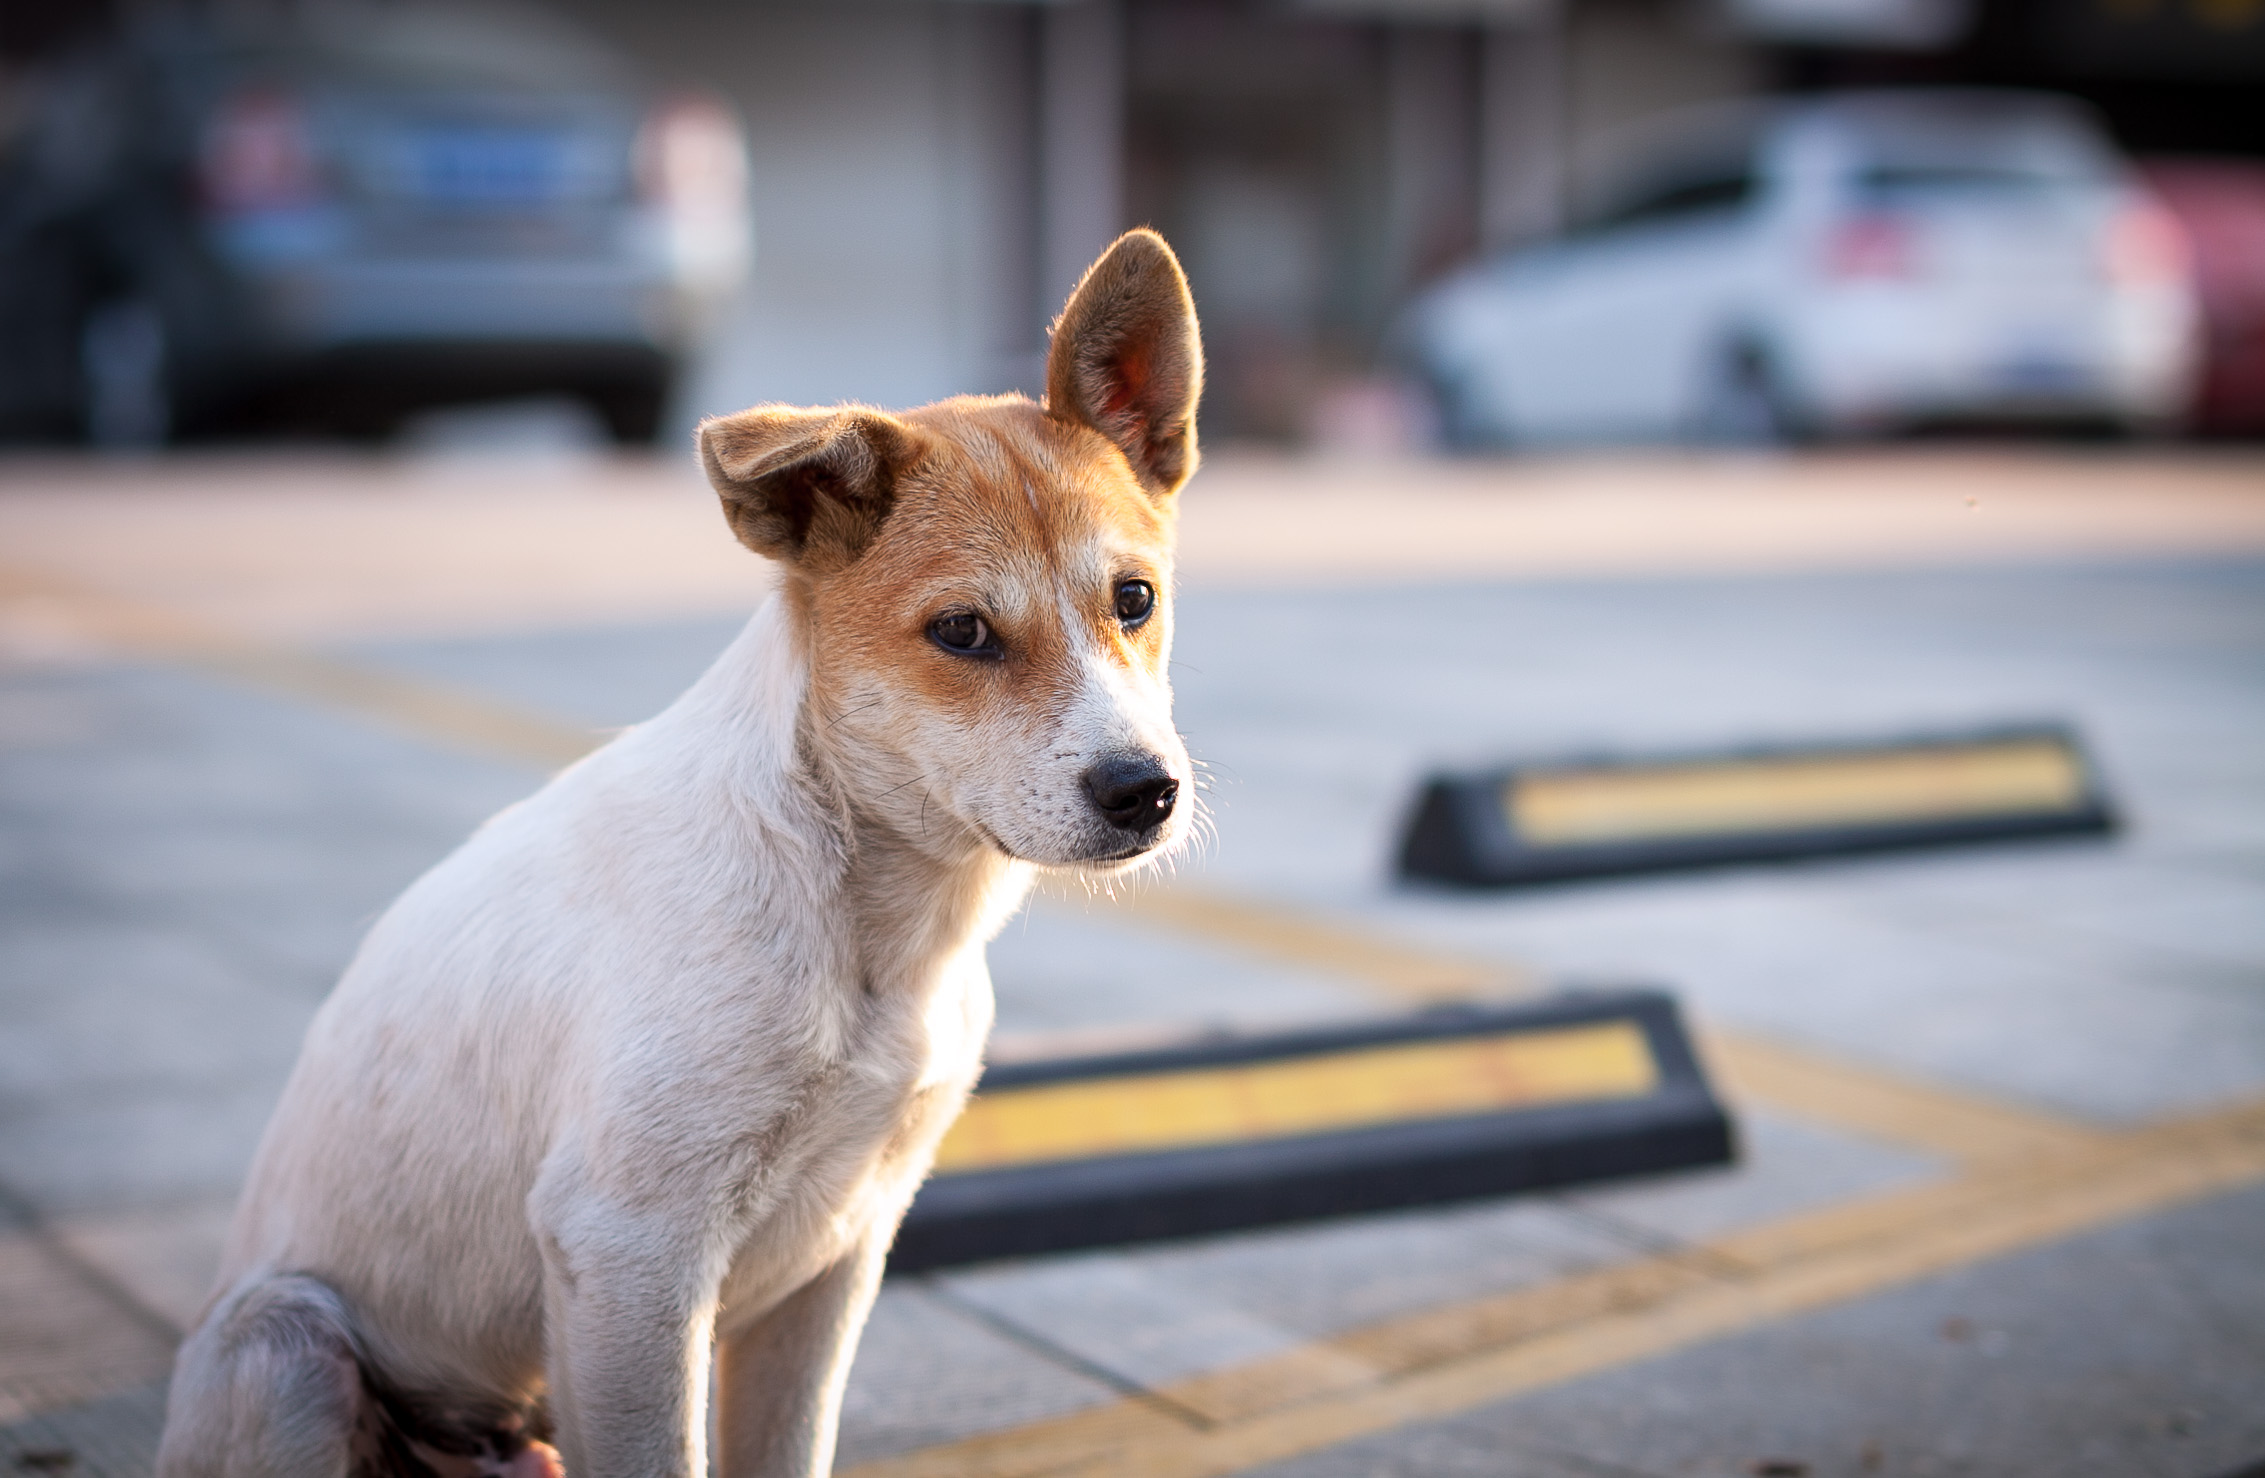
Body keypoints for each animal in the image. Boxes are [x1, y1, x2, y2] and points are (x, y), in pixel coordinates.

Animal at [157, 230, 1214, 1475]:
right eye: (961, 631)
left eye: (1134, 598)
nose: (1146, 791)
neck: (864, 915)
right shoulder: (628, 1246)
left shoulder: (839, 1254)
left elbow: (787, 1446)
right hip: (285, 1337)